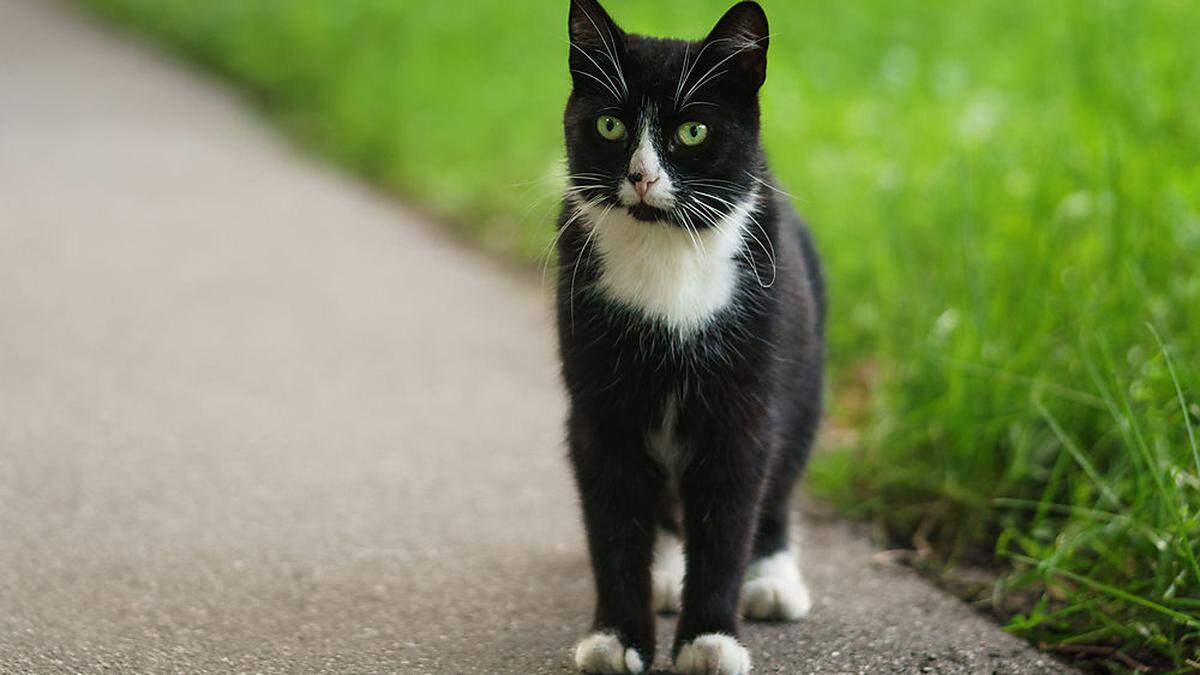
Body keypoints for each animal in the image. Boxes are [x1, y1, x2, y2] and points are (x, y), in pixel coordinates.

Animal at [554, 1, 825, 672]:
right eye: (609, 125)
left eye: (693, 132)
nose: (642, 177)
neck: (666, 248)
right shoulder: (599, 406)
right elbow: (613, 521)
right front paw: (616, 638)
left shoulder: (744, 405)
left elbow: (728, 520)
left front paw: (710, 640)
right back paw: (664, 572)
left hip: (806, 371)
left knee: (779, 480)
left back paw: (772, 577)